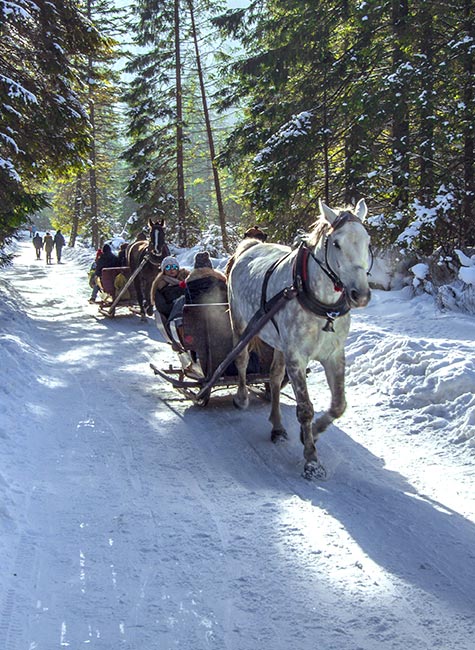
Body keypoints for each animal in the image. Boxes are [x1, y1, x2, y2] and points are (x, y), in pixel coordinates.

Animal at [227, 197, 372, 476]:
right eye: (336, 243)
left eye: (367, 240)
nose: (360, 294)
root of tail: (249, 247)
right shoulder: (297, 357)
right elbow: (305, 409)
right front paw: (311, 460)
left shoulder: (334, 355)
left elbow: (338, 405)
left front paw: (311, 434)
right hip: (241, 325)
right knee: (240, 360)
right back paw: (241, 396)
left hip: (279, 343)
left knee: (273, 377)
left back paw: (277, 427)